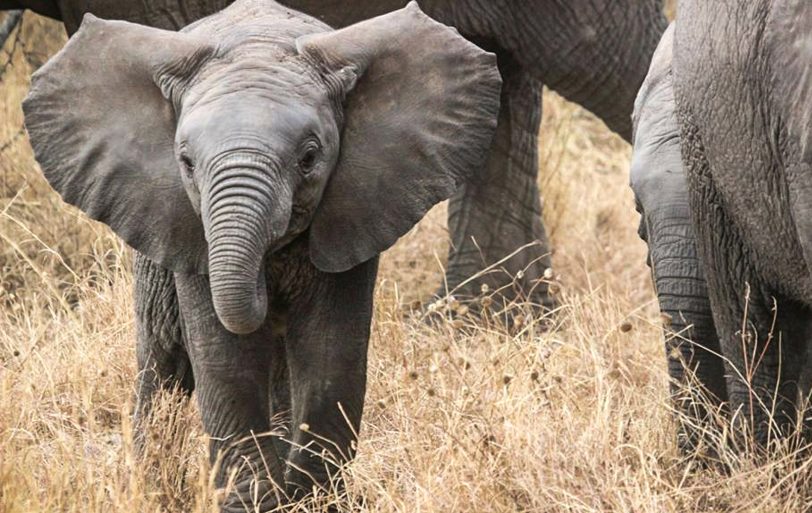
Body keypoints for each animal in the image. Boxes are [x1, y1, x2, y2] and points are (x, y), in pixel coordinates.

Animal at [23, 1, 502, 508]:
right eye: (186, 163)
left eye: (309, 158)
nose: (265, 284)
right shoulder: (187, 232)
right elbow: (225, 360)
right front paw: (256, 503)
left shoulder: (357, 209)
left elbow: (331, 354)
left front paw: (312, 501)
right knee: (163, 360)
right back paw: (151, 490)